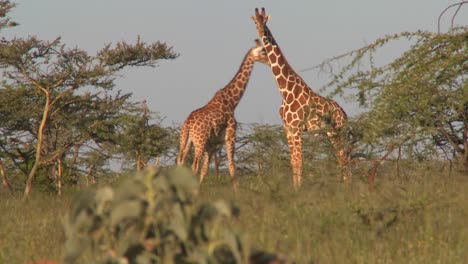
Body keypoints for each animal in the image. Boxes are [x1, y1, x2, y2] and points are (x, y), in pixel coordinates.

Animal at [177, 39, 268, 190]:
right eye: (263, 51)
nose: (270, 61)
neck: (232, 101)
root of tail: (188, 123)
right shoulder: (231, 136)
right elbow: (232, 166)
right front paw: (237, 192)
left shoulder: (212, 143)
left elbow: (205, 169)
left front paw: (199, 191)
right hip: (199, 141)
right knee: (194, 165)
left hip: (186, 139)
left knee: (180, 160)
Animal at [252, 7, 352, 187]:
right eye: (256, 21)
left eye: (265, 21)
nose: (261, 32)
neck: (284, 90)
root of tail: (343, 113)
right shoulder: (288, 129)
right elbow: (293, 160)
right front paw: (294, 188)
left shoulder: (297, 127)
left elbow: (299, 160)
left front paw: (299, 189)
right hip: (330, 132)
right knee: (341, 157)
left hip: (338, 129)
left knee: (344, 156)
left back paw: (348, 186)